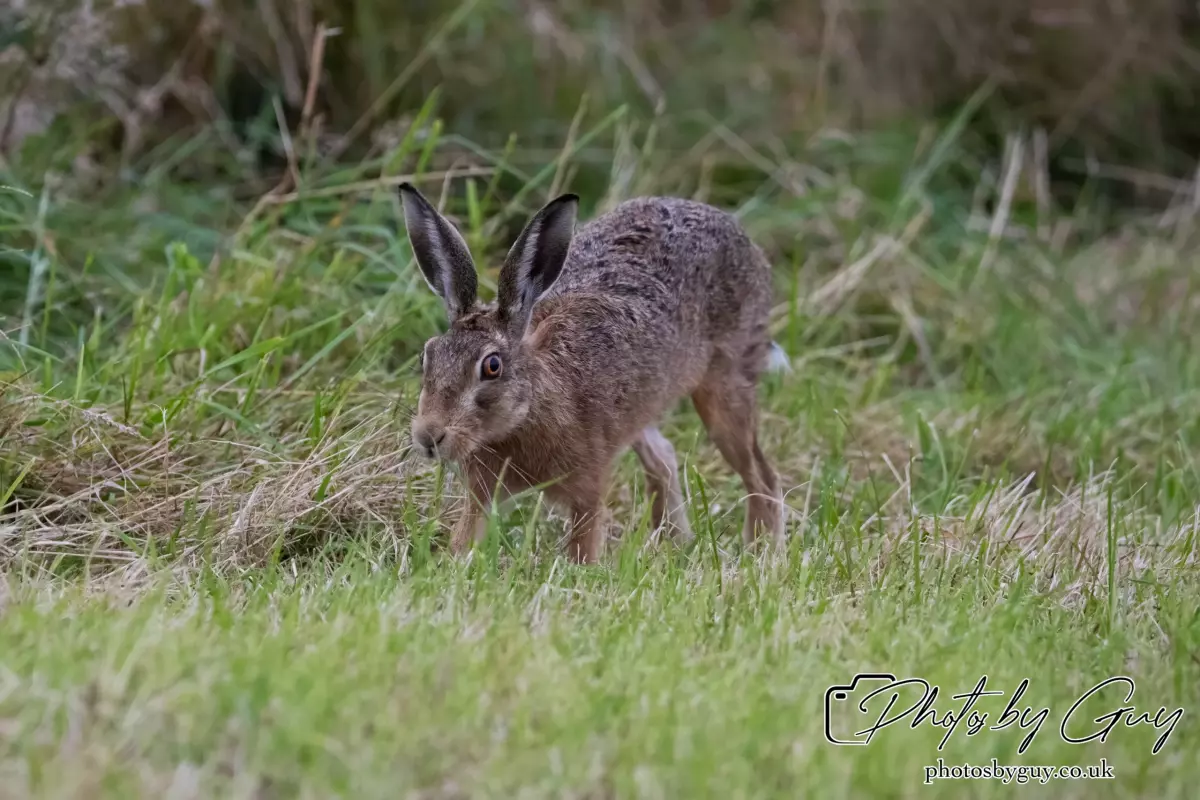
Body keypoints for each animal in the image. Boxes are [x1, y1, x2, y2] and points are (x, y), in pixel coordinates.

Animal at [400, 182, 786, 563]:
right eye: (427, 355)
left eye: (492, 366)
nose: (428, 436)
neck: (527, 410)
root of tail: (738, 234)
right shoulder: (482, 492)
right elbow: (468, 533)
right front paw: (455, 559)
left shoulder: (589, 483)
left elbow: (583, 544)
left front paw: (580, 570)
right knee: (663, 458)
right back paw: (676, 544)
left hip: (726, 389)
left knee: (761, 476)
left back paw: (761, 553)